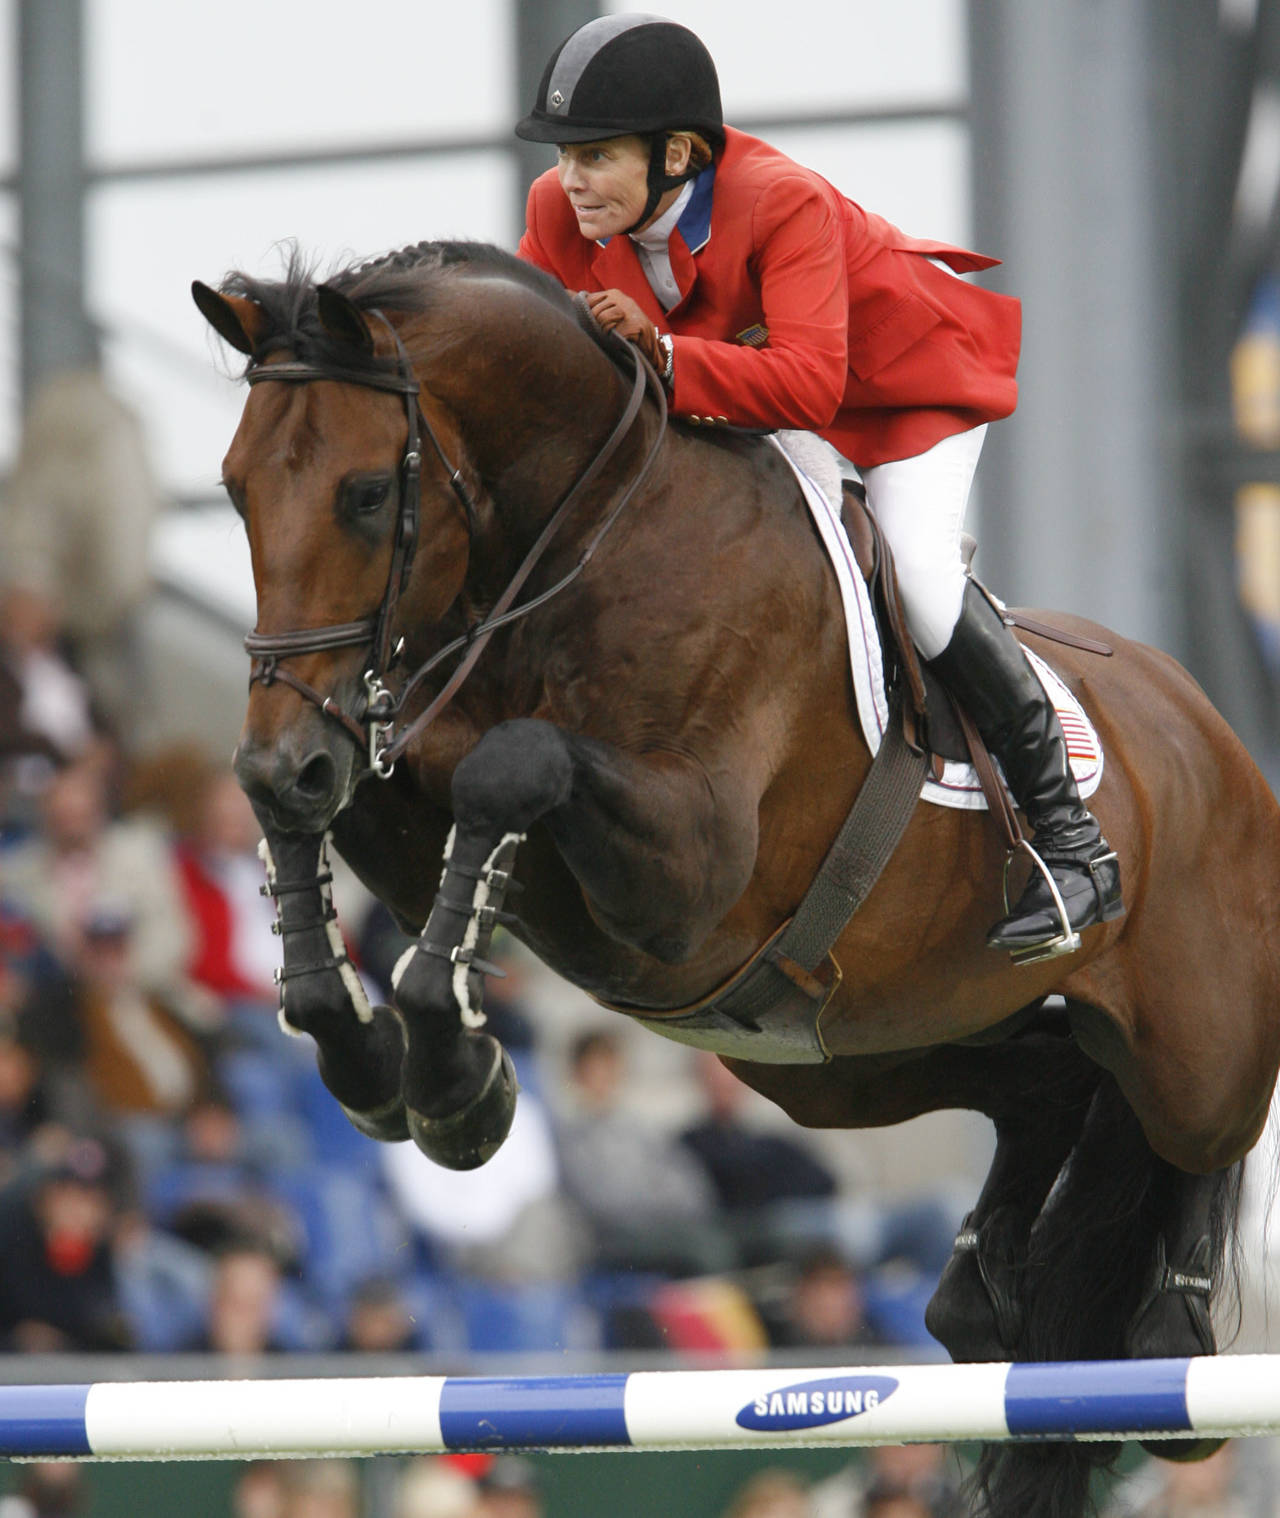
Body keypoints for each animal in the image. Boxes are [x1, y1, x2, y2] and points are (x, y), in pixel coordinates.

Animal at [192, 241, 1280, 1518]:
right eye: (234, 490)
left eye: (366, 494)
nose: (282, 753)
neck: (578, 538)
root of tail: (1209, 730)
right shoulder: (419, 789)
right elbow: (377, 809)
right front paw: (374, 1053)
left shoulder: (690, 867)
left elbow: (513, 764)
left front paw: (454, 1079)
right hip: (840, 1055)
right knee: (1051, 1083)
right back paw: (979, 1307)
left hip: (1187, 1044)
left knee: (1186, 1133)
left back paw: (1173, 1332)